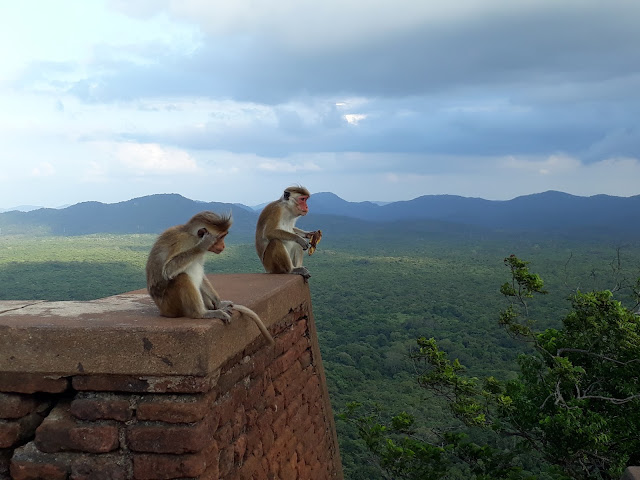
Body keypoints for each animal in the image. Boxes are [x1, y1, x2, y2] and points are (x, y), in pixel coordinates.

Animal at [146, 211, 274, 344]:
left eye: (224, 236)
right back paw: (201, 313)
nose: (223, 246)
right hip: (169, 306)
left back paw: (213, 307)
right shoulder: (182, 241)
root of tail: (162, 311)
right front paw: (202, 245)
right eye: (221, 237)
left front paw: (219, 303)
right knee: (182, 276)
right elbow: (168, 270)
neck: (193, 236)